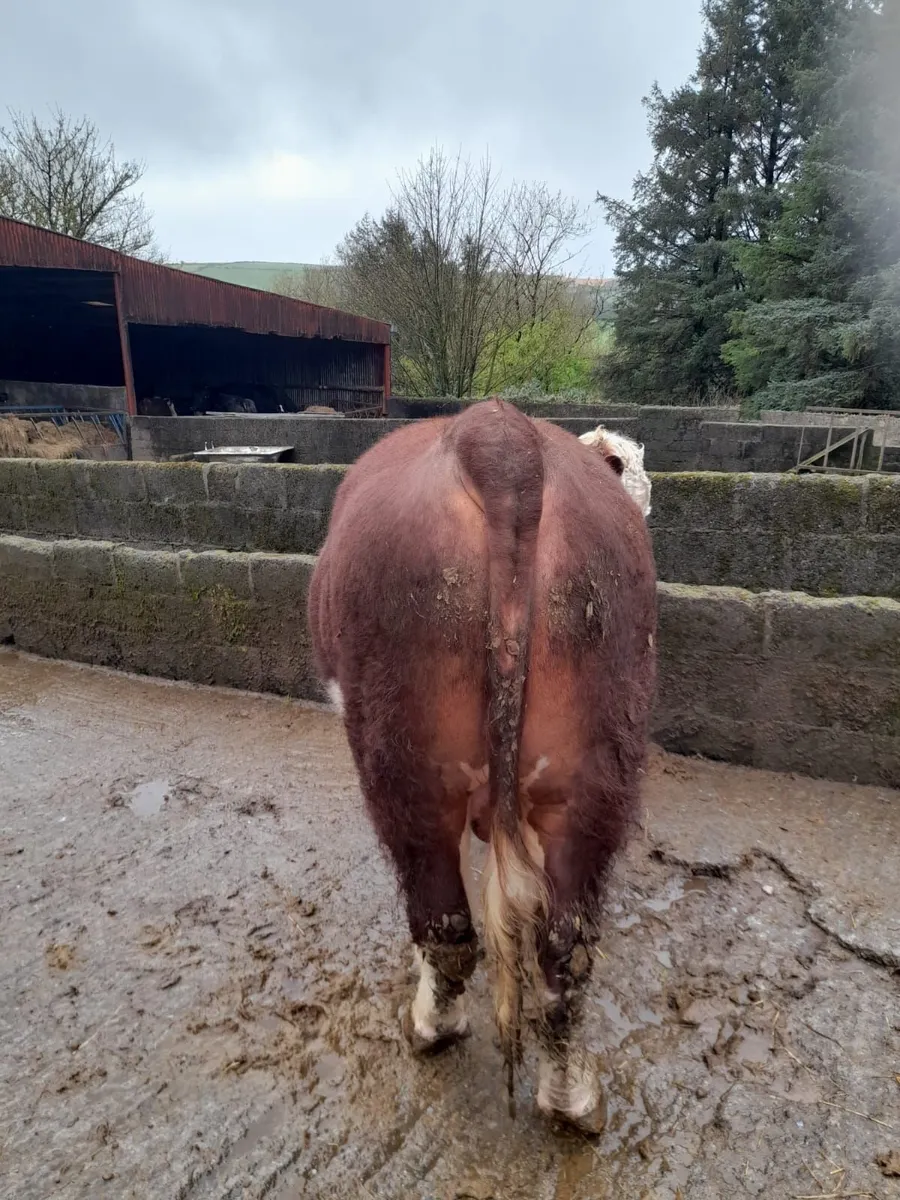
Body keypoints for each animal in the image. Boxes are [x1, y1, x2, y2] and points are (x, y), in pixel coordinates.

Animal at [308, 399, 656, 1133]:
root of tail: (501, 441)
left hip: (401, 761)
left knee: (446, 926)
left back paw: (429, 1027)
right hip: (597, 768)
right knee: (566, 951)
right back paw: (571, 1100)